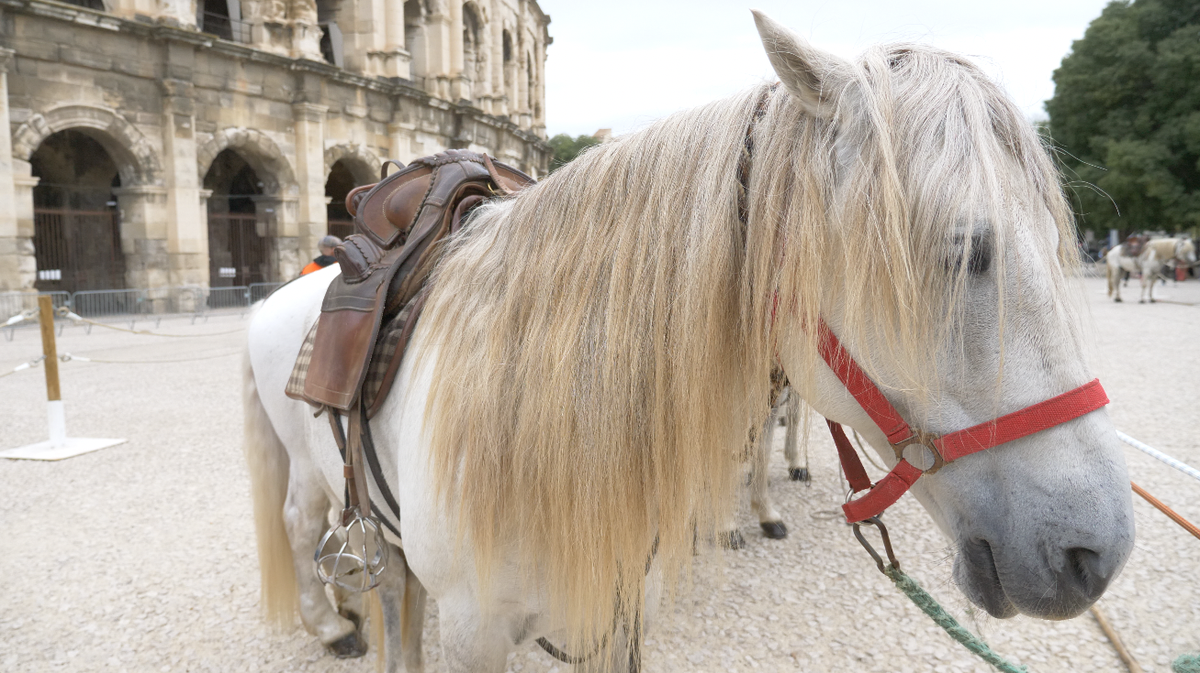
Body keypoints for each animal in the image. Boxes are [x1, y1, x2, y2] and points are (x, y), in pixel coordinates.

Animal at [241, 13, 1132, 667]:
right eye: (961, 251)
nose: (1099, 548)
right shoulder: (476, 636)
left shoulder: (612, 611)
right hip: (311, 474)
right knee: (299, 519)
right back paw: (335, 621)